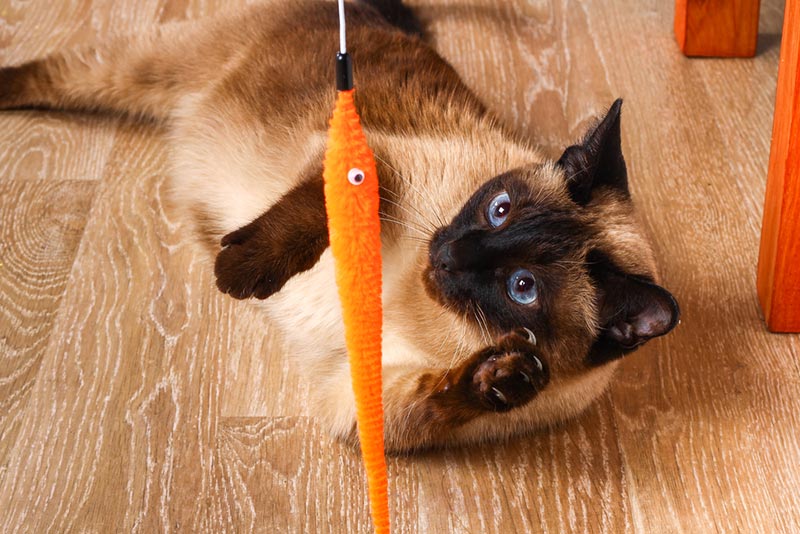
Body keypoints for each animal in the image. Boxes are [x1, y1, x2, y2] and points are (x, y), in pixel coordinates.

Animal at [0, 0, 680, 454]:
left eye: (522, 287)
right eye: (500, 209)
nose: (449, 254)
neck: (432, 316)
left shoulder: (360, 402)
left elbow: (438, 399)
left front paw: (507, 378)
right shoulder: (369, 167)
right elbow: (296, 226)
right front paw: (238, 273)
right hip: (148, 67)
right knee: (59, 71)